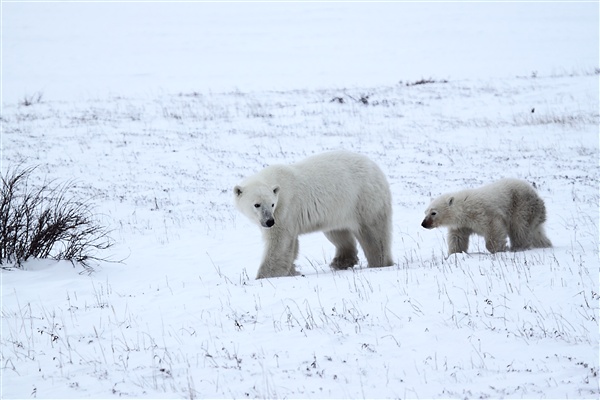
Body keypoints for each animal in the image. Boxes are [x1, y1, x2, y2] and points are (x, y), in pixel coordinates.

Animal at [233, 150, 394, 278]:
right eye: (257, 205)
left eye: (272, 204)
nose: (269, 221)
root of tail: (376, 168)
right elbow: (291, 245)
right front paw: (292, 271)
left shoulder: (285, 208)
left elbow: (280, 243)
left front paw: (263, 276)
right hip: (338, 209)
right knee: (338, 233)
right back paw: (340, 261)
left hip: (364, 199)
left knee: (374, 234)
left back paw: (379, 262)